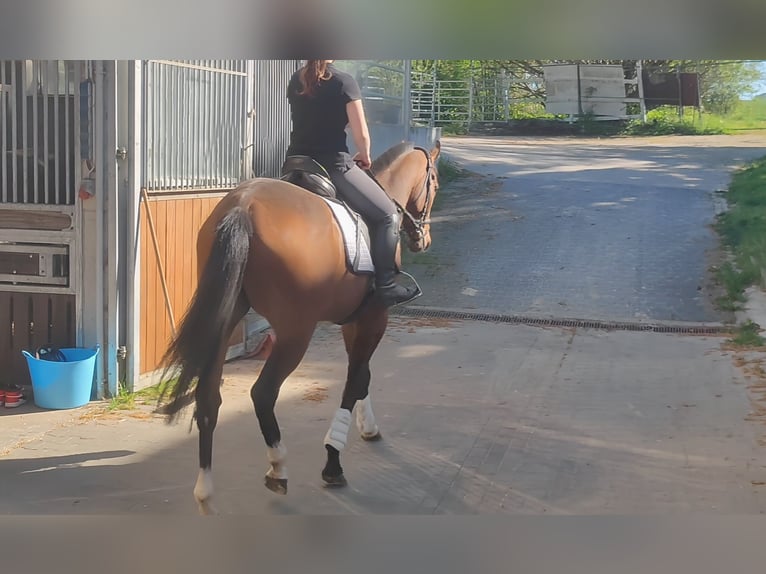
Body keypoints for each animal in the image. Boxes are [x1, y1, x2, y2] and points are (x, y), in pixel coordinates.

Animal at [158, 140, 442, 514]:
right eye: (435, 183)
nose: (424, 240)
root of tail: (243, 206)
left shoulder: (355, 319)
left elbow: (362, 375)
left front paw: (368, 428)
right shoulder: (373, 317)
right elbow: (354, 380)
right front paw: (333, 462)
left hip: (227, 318)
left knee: (208, 398)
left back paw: (205, 492)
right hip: (296, 332)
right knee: (263, 393)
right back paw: (278, 467)